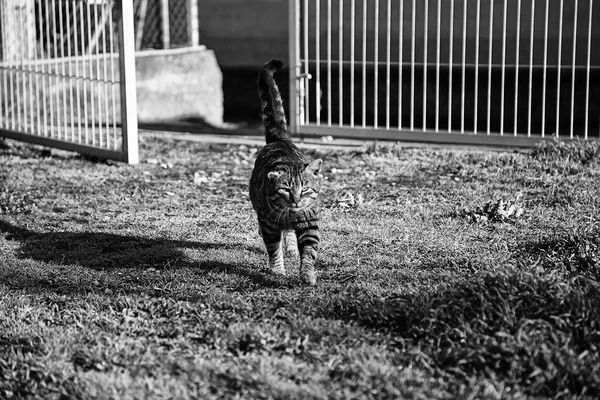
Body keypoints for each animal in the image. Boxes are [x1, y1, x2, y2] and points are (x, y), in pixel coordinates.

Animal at [248, 58, 324, 284]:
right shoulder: (269, 224)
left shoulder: (309, 224)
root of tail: (279, 138)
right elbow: (273, 249)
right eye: (286, 189)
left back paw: (291, 248)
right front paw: (277, 270)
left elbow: (309, 252)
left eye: (305, 189)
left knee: (289, 234)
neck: (290, 213)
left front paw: (307, 274)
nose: (297, 200)